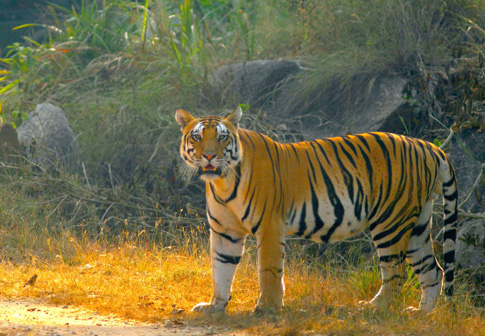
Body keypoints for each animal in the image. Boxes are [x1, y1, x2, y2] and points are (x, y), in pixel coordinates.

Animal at [175, 106, 458, 314]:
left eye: (222, 137)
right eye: (197, 136)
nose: (209, 156)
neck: (222, 182)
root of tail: (429, 146)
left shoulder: (269, 227)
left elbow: (268, 270)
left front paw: (267, 308)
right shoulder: (225, 231)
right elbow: (221, 268)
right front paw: (215, 306)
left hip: (391, 222)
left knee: (396, 272)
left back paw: (376, 308)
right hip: (417, 225)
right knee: (433, 270)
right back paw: (421, 315)